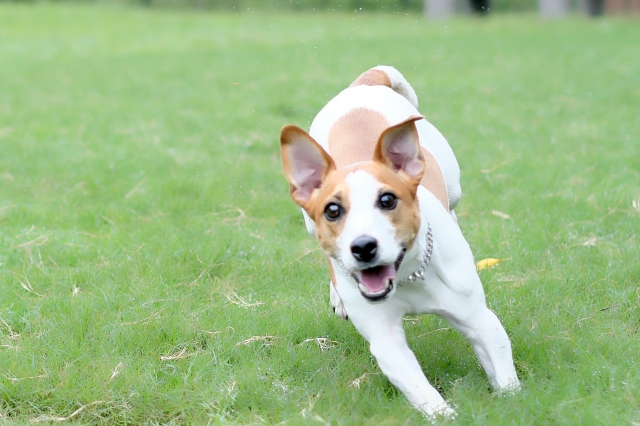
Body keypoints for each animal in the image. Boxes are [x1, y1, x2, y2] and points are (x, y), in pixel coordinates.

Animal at [280, 65, 520, 416]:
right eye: (333, 210)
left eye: (388, 200)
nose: (363, 247)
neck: (408, 276)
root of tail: (365, 83)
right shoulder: (385, 339)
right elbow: (418, 386)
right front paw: (445, 415)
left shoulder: (479, 319)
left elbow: (503, 371)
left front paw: (511, 401)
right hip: (310, 225)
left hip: (452, 183)